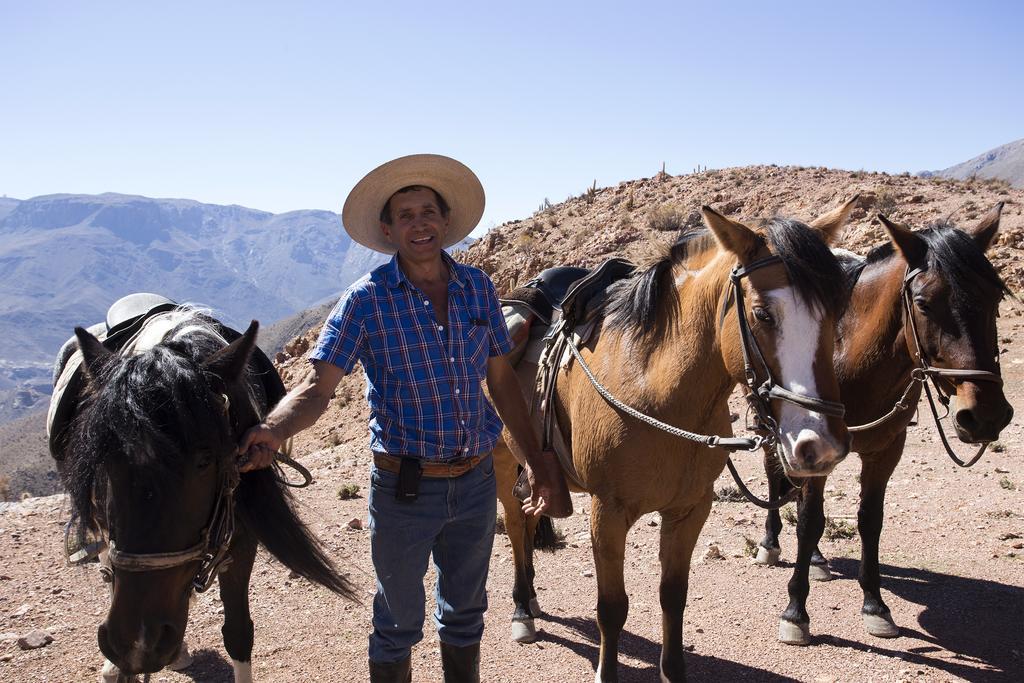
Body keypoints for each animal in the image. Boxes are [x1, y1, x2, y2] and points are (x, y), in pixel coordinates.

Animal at [495, 202, 856, 683]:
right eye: (763, 314)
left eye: (835, 311)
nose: (821, 444)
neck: (654, 386)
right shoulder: (608, 512)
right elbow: (611, 609)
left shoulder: (690, 509)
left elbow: (673, 595)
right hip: (500, 463)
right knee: (516, 525)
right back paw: (521, 611)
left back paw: (531, 599)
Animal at [757, 204, 1011, 647]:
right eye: (924, 303)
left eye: (995, 297)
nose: (986, 415)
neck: (851, 355)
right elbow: (809, 520)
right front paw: (795, 612)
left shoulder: (886, 449)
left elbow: (869, 521)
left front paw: (875, 606)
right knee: (775, 475)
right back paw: (770, 544)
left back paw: (819, 560)